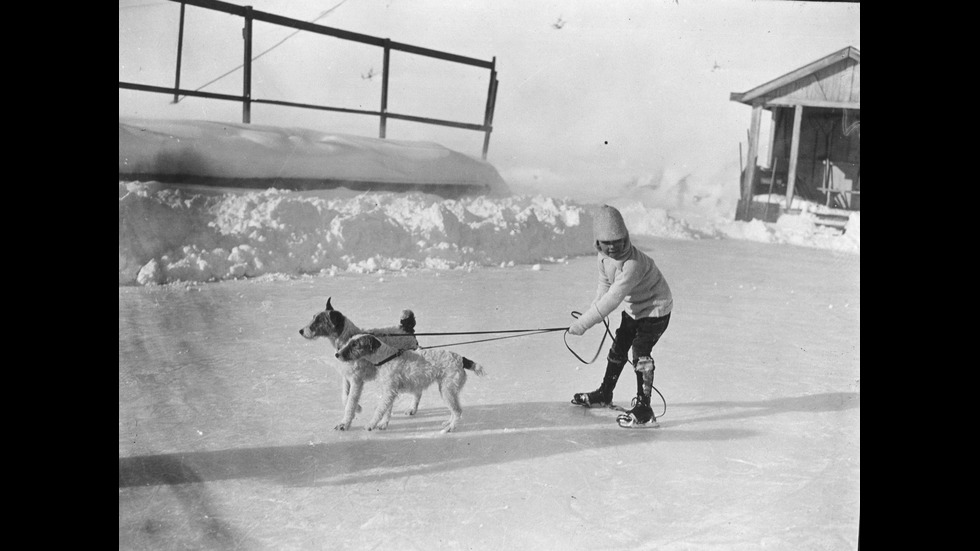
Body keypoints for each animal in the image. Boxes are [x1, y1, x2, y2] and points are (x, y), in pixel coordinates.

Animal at [298, 298, 422, 432]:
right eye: (314, 318)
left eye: (318, 320)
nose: (301, 331)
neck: (347, 340)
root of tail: (406, 328)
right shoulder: (347, 377)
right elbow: (345, 397)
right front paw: (358, 408)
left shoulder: (356, 380)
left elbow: (350, 401)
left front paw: (344, 423)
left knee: (417, 392)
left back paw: (411, 409)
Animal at [336, 334, 486, 434]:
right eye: (349, 342)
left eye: (355, 345)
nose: (337, 354)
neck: (386, 358)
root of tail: (462, 359)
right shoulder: (389, 391)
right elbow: (387, 410)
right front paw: (383, 424)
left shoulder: (389, 391)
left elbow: (379, 410)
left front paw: (370, 425)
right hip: (447, 390)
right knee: (454, 411)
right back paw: (448, 423)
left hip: (447, 390)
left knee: (458, 411)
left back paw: (450, 428)